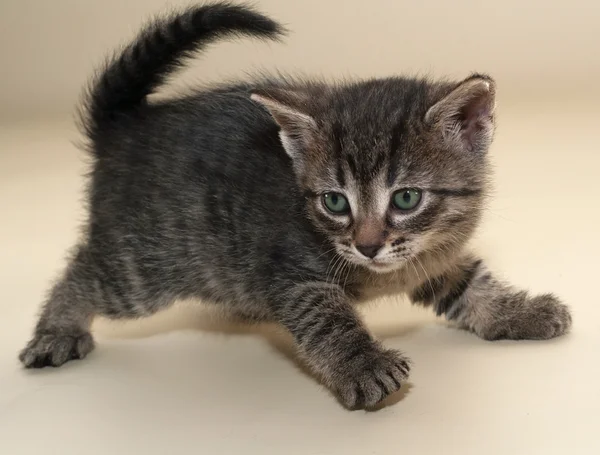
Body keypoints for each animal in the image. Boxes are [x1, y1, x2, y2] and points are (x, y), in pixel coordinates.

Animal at [19, 2, 572, 410]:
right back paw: (56, 331)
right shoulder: (293, 272)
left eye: (406, 198)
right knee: (84, 271)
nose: (367, 246)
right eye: (335, 202)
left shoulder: (430, 258)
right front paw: (363, 365)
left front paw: (522, 311)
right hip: (146, 267)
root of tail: (124, 125)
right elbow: (326, 318)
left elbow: (471, 287)